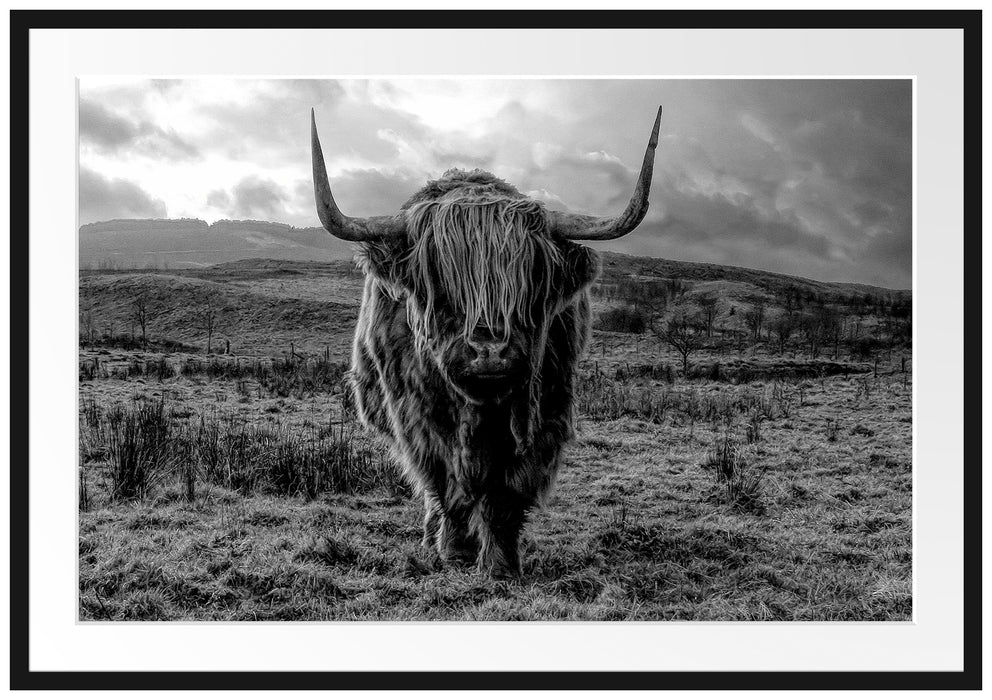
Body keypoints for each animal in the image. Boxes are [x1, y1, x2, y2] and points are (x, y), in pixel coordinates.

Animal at [310, 104, 668, 576]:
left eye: (528, 282)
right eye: (440, 285)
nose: (489, 352)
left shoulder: (545, 411)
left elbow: (506, 494)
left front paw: (502, 563)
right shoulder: (418, 416)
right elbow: (447, 482)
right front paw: (455, 549)